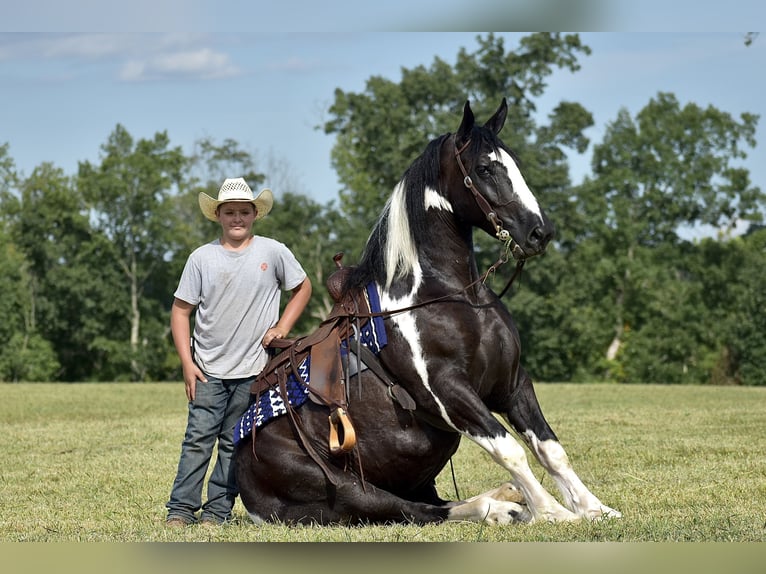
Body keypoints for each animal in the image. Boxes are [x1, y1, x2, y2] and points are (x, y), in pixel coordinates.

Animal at [236, 99, 624, 528]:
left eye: (515, 164)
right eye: (484, 168)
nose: (540, 232)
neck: (452, 297)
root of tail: (244, 482)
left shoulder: (512, 383)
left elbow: (549, 449)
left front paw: (595, 508)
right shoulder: (448, 391)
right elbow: (509, 449)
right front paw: (554, 512)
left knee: (433, 501)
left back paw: (505, 498)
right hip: (349, 490)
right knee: (415, 510)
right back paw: (505, 508)